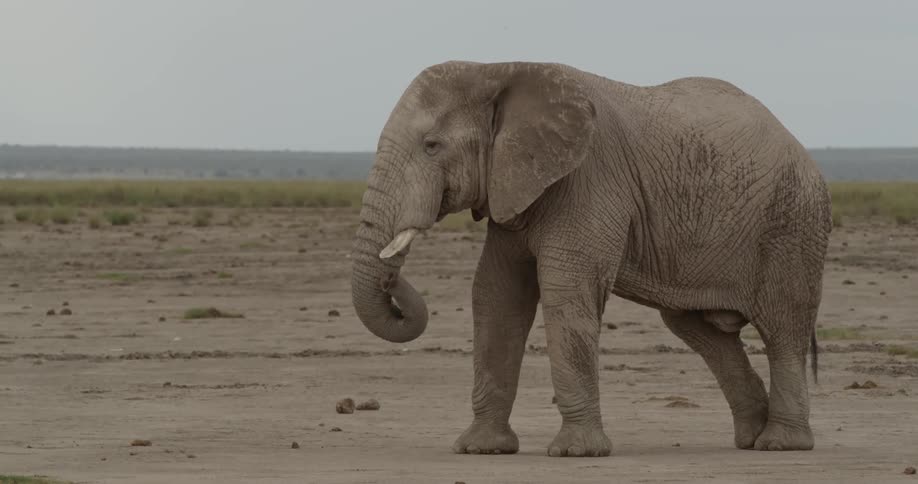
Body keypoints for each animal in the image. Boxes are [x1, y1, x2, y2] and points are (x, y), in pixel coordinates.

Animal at [351, 61, 832, 457]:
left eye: (431, 145)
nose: (393, 281)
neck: (498, 69)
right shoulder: (516, 186)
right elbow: (496, 293)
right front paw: (480, 449)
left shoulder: (588, 179)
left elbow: (565, 289)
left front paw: (576, 453)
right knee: (698, 330)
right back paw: (751, 437)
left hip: (792, 224)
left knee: (783, 326)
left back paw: (781, 443)